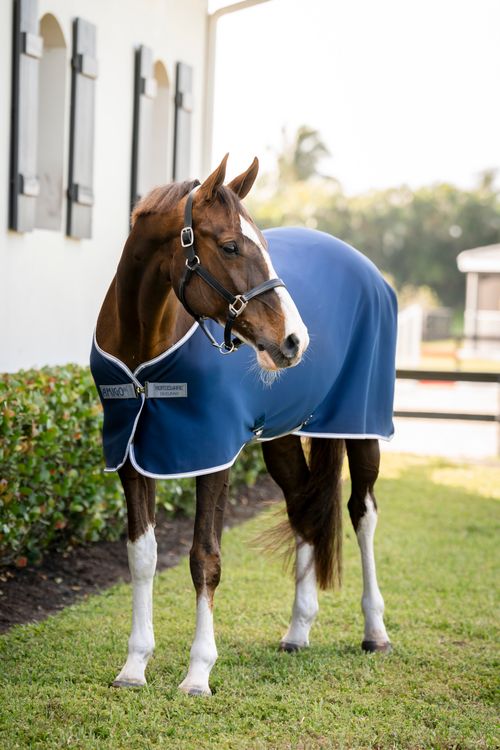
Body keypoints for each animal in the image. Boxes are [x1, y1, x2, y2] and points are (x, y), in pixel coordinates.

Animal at [91, 154, 397, 696]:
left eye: (266, 247)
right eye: (231, 245)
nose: (295, 340)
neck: (144, 346)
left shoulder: (211, 451)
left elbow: (204, 558)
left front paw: (197, 672)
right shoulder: (133, 454)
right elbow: (142, 556)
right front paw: (134, 665)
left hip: (363, 428)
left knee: (362, 513)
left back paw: (374, 631)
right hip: (282, 438)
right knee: (304, 508)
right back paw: (297, 630)